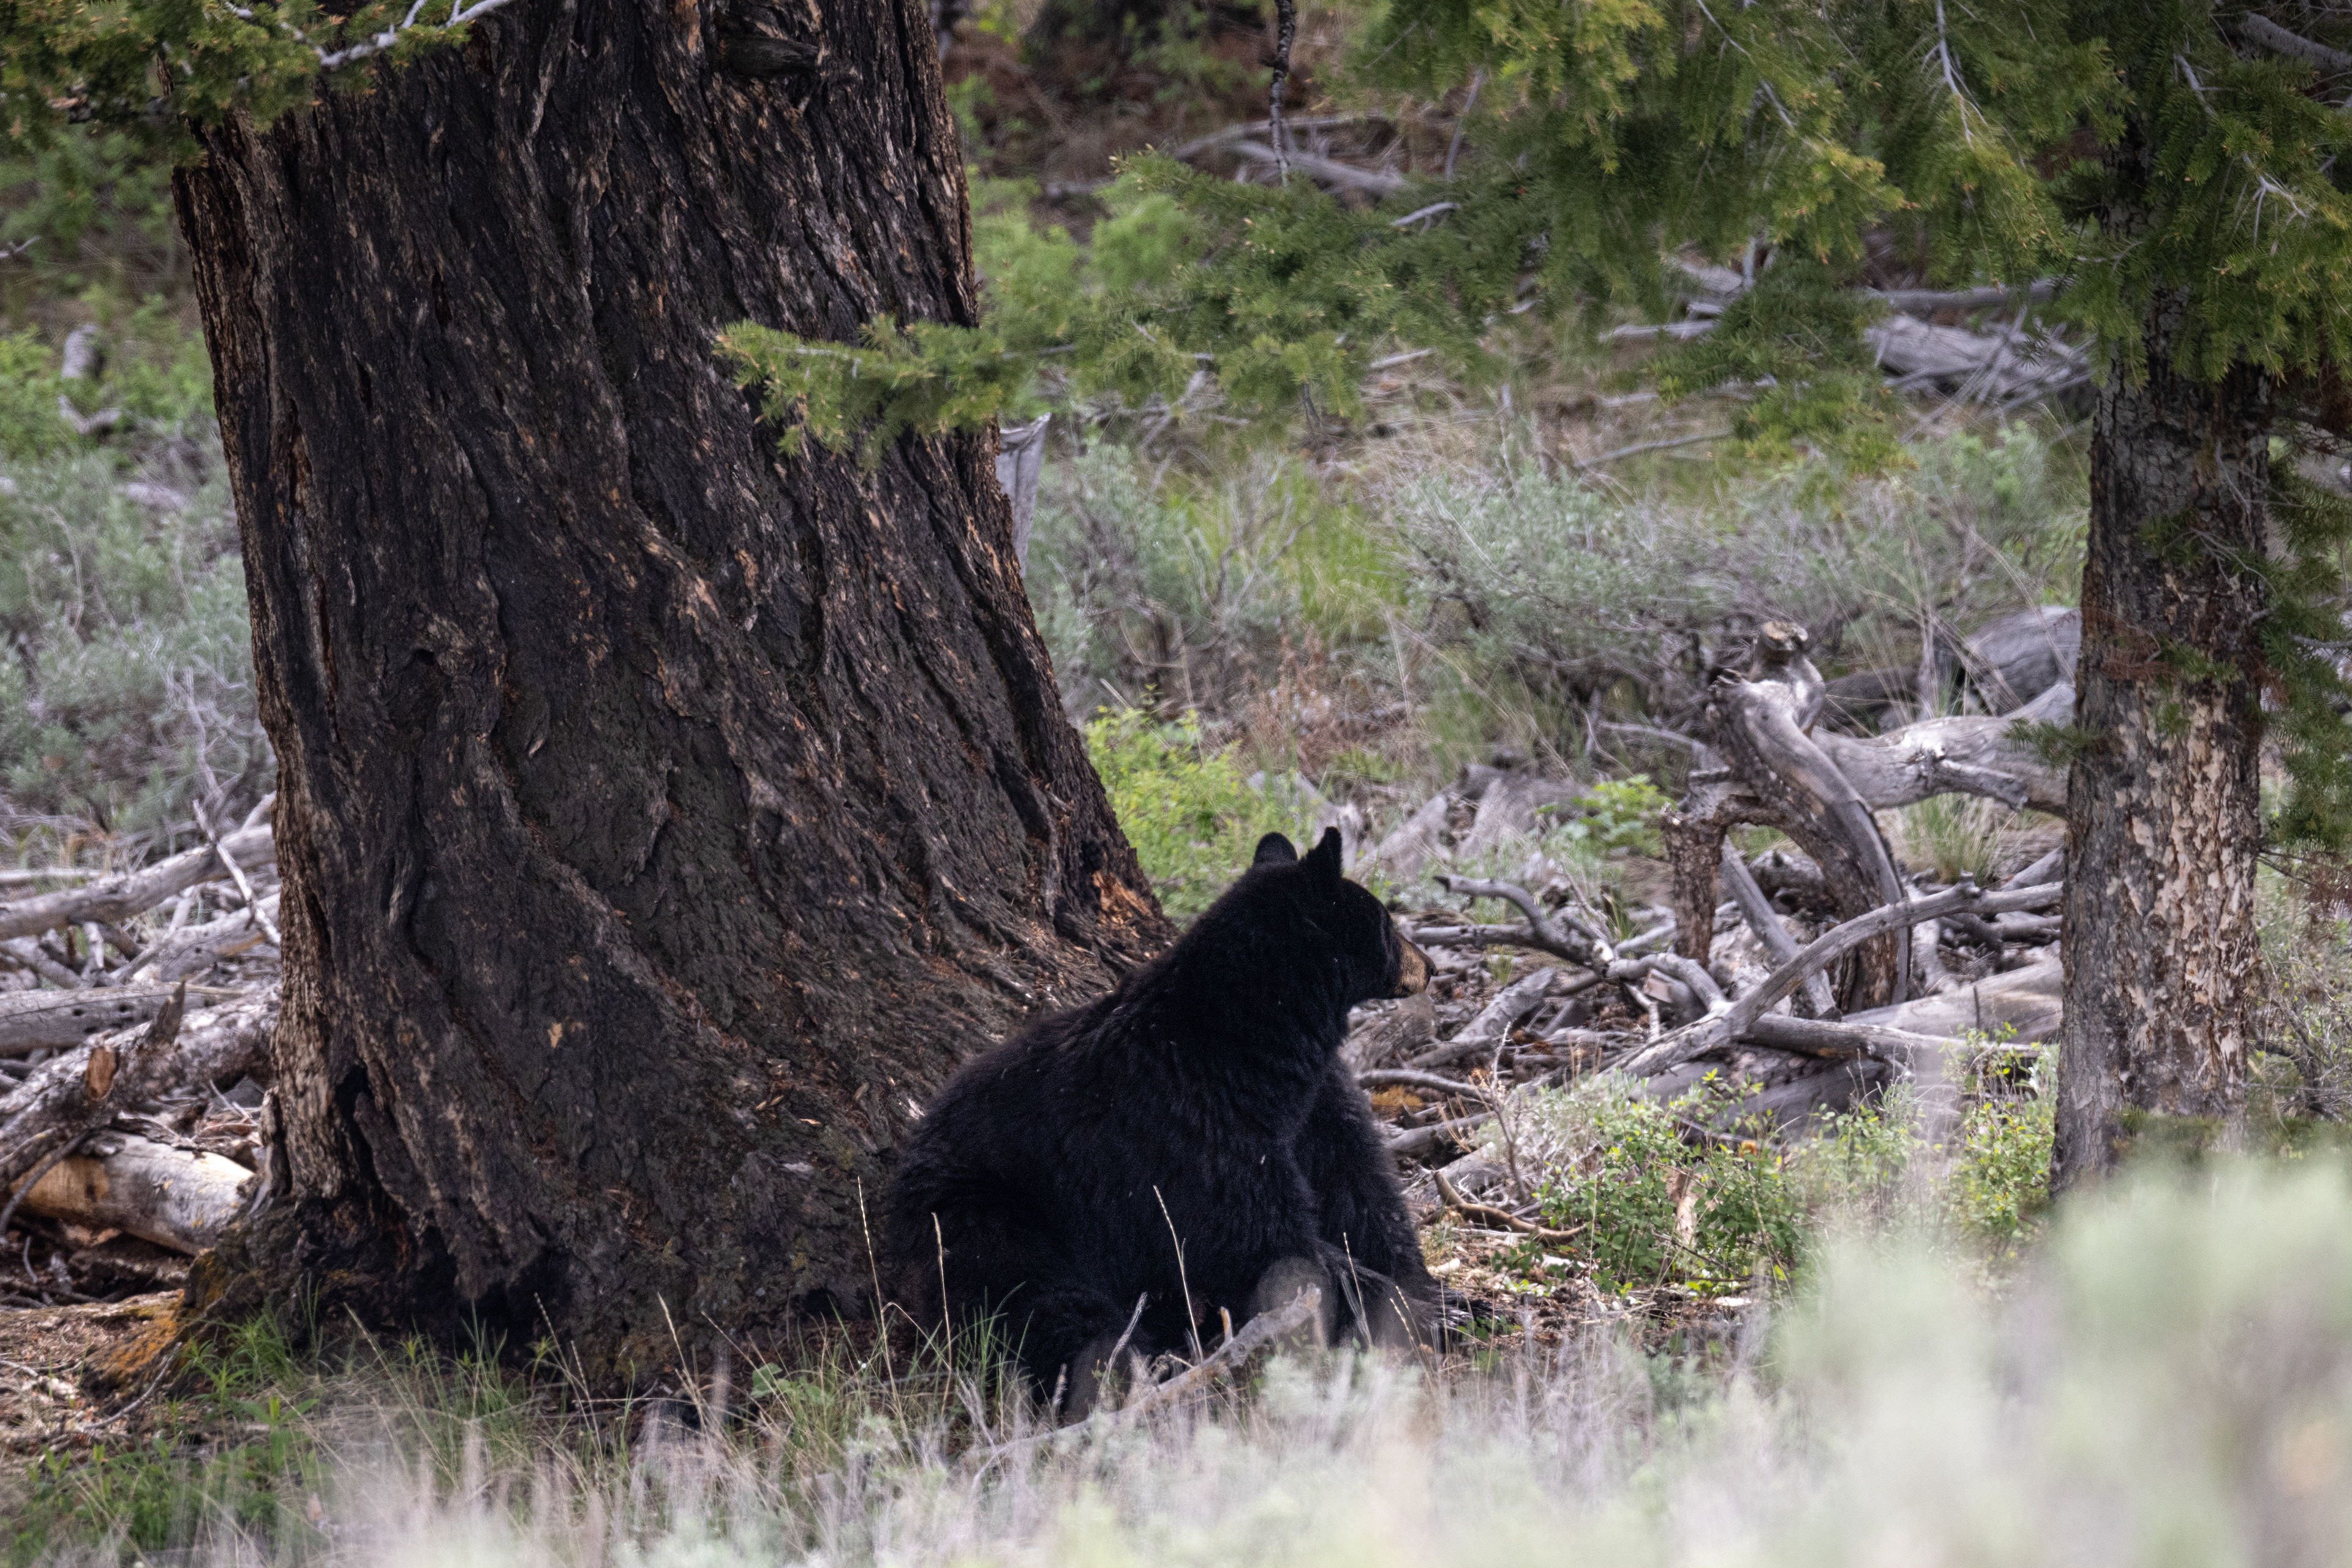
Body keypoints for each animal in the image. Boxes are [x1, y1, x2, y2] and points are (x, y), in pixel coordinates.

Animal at [885, 826, 1440, 1412]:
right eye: (1387, 922)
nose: (1430, 966)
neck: (1254, 1050)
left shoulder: (1313, 1105)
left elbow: (1359, 1189)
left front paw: (1428, 1295)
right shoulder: (1192, 1128)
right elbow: (1261, 1234)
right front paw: (1385, 1302)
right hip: (986, 1213)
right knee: (1038, 1297)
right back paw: (1121, 1374)